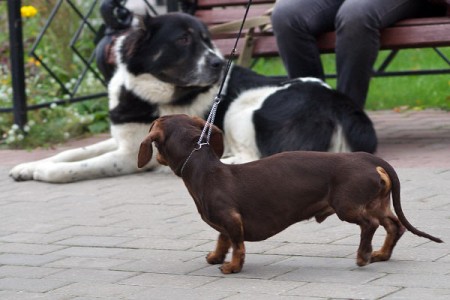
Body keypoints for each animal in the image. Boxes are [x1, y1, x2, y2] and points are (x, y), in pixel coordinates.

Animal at [9, 11, 376, 183]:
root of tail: (343, 103)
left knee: (261, 157)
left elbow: (80, 166)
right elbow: (71, 153)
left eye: (206, 40)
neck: (151, 94)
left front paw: (45, 174)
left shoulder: (128, 155)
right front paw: (28, 166)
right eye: (184, 40)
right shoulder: (124, 139)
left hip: (243, 108)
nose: (218, 63)